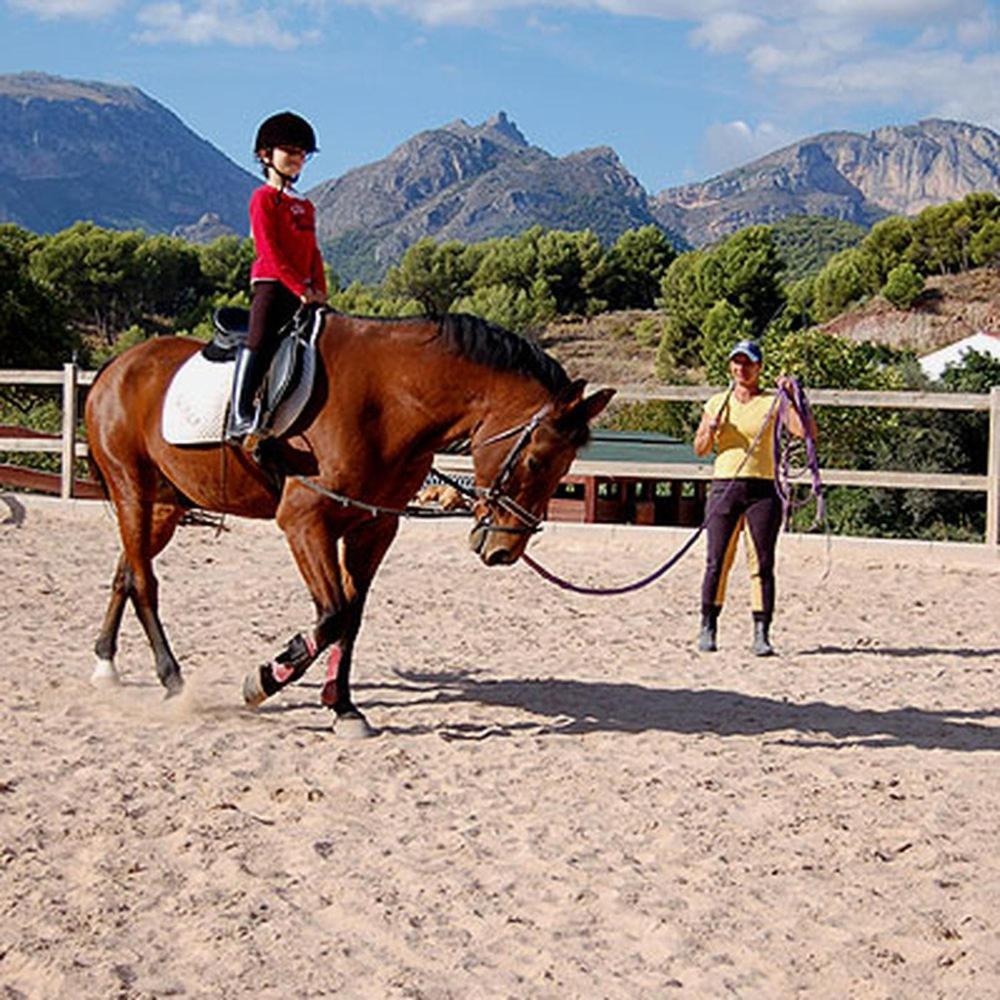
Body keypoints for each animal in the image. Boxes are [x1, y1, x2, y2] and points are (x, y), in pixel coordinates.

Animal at [86, 308, 612, 740]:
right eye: (537, 460)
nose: (504, 550)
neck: (388, 400)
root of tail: (116, 366)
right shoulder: (305, 522)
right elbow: (333, 613)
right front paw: (265, 678)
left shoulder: (372, 529)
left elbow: (350, 619)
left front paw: (342, 707)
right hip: (132, 490)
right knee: (145, 583)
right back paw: (172, 679)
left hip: (164, 506)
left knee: (126, 573)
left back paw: (105, 665)